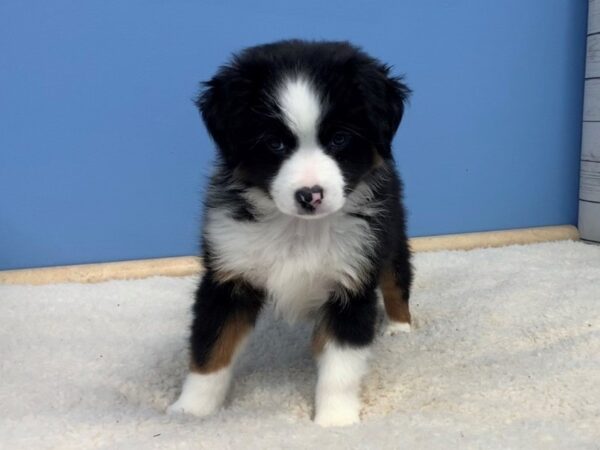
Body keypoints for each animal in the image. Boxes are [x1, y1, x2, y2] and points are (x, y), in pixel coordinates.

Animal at [169, 40, 412, 428]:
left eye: (340, 139)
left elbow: (340, 366)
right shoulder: (227, 276)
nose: (310, 195)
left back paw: (400, 328)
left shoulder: (352, 279)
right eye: (275, 144)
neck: (299, 229)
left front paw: (335, 422)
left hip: (392, 232)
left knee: (397, 279)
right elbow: (211, 347)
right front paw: (191, 411)